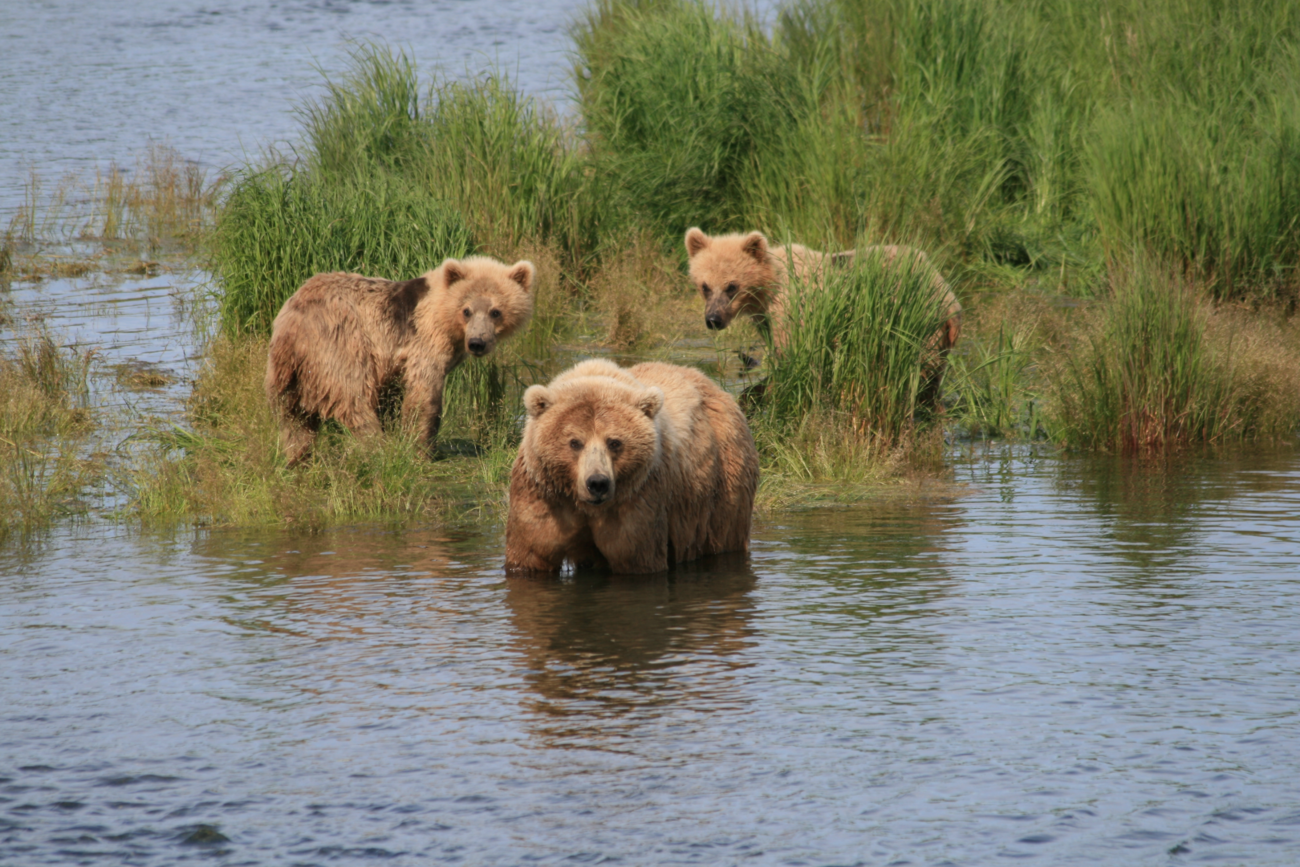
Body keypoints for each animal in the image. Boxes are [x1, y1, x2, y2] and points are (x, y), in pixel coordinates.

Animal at [263, 254, 533, 465]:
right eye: (466, 310)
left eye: (495, 311)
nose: (477, 342)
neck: (444, 319)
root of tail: (293, 322)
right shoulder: (423, 343)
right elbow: (424, 395)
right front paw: (423, 448)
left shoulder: (393, 361)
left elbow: (392, 396)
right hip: (339, 343)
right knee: (353, 396)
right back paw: (375, 443)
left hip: (287, 368)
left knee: (293, 415)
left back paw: (298, 454)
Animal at [501, 358, 759, 577]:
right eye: (574, 442)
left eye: (614, 442)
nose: (597, 483)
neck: (583, 504)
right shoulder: (544, 495)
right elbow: (530, 553)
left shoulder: (638, 499)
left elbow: (636, 558)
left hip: (725, 484)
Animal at [686, 227, 961, 400]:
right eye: (705, 286)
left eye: (732, 286)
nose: (713, 319)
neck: (769, 288)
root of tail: (947, 292)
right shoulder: (768, 320)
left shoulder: (793, 312)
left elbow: (791, 359)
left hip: (918, 324)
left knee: (921, 373)